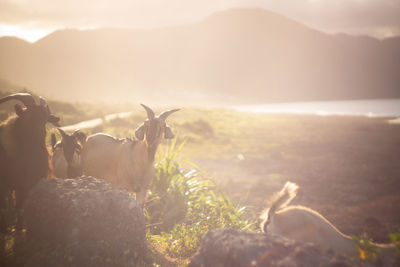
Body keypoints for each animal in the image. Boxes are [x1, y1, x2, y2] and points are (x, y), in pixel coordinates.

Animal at [0, 93, 60, 229]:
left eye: (45, 120)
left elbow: (20, 209)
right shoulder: (6, 186)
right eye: (30, 117)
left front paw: (19, 228)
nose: (42, 133)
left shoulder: (25, 186)